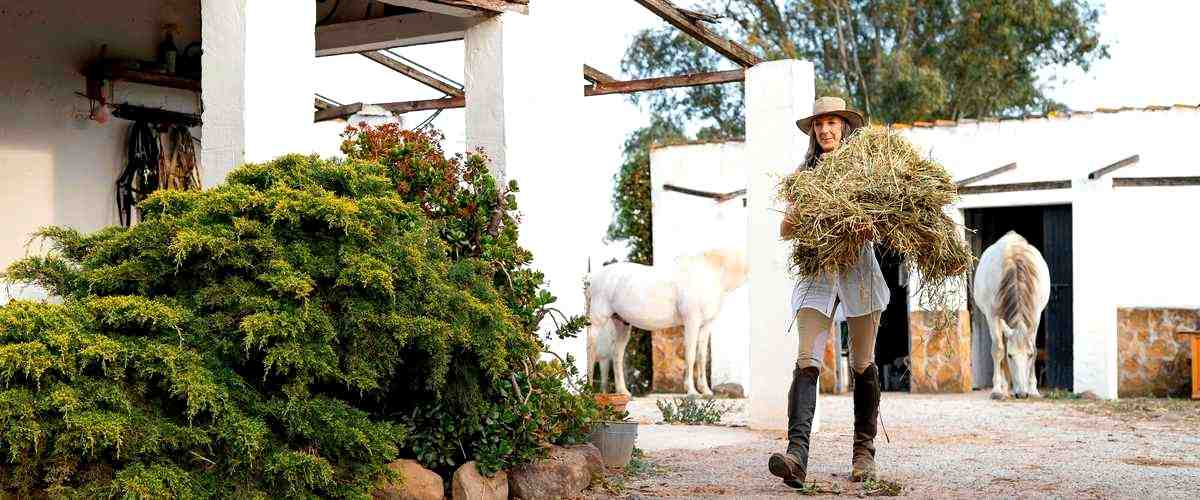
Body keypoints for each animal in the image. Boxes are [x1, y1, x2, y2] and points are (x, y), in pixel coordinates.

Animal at [585, 247, 744, 395]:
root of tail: (593, 278)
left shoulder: (705, 326)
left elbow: (701, 357)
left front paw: (705, 391)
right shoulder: (691, 322)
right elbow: (690, 355)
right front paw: (692, 391)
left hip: (622, 325)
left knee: (617, 355)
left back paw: (623, 391)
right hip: (597, 321)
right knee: (590, 350)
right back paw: (588, 389)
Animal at [974, 231, 1051, 400]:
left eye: (1029, 356)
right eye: (1010, 356)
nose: (1022, 394)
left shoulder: (1035, 315)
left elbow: (1035, 347)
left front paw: (1033, 389)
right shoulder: (993, 316)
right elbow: (998, 350)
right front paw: (997, 390)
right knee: (1000, 346)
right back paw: (1004, 387)